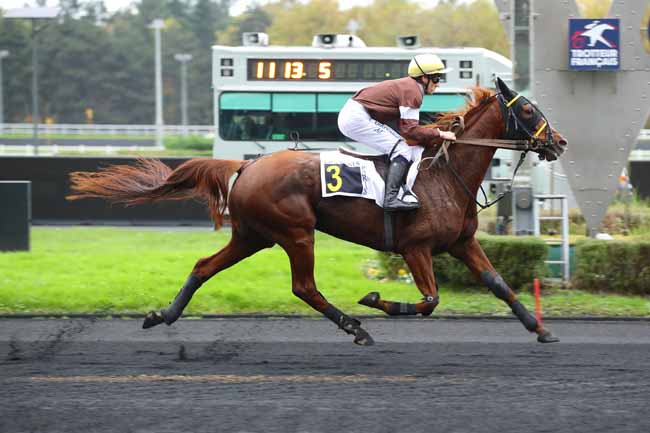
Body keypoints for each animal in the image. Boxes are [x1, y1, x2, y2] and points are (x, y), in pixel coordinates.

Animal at [69, 78, 560, 344]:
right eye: (528, 108)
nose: (559, 142)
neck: (446, 175)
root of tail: (248, 165)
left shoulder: (462, 242)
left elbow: (498, 284)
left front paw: (540, 328)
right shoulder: (415, 247)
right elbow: (429, 301)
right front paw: (376, 299)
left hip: (253, 235)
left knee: (204, 265)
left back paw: (163, 316)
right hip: (295, 233)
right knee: (304, 286)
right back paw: (356, 326)